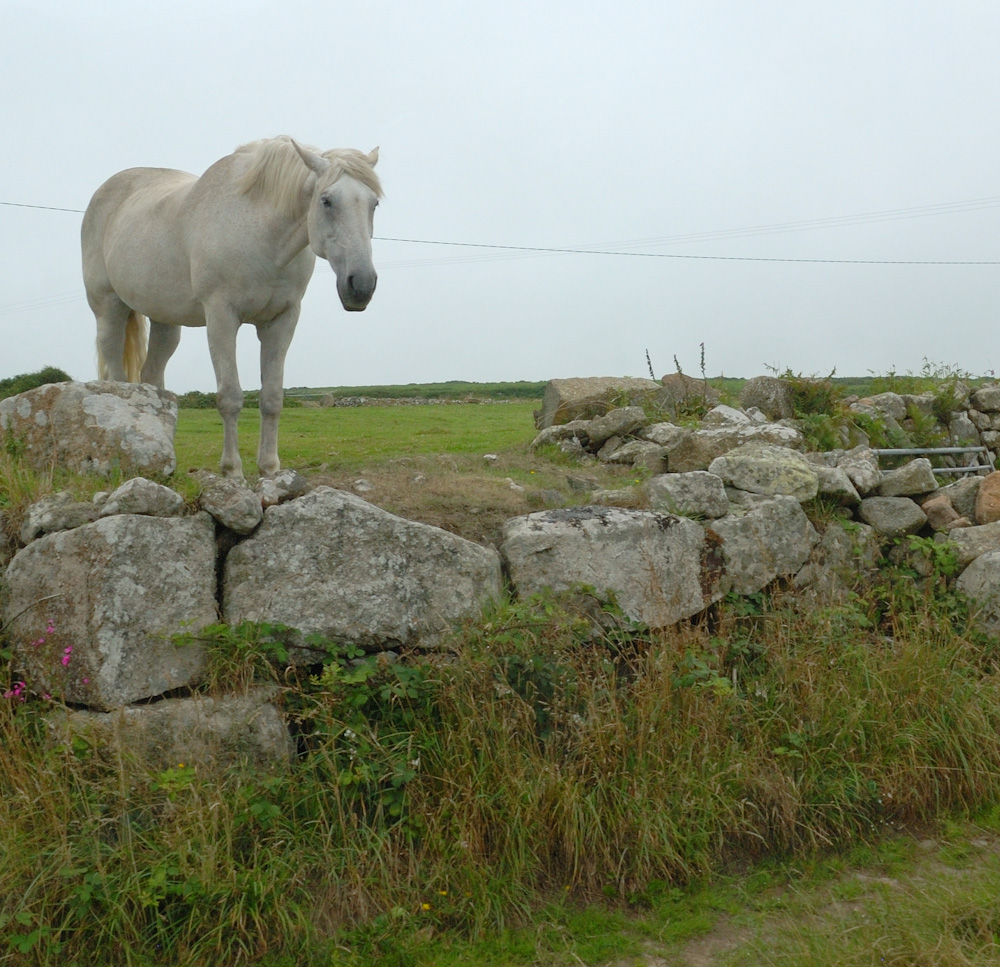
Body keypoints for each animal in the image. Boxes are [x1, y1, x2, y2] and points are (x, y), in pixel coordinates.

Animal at [80, 138, 378, 478]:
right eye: (326, 201)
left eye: (374, 203)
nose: (361, 285)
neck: (262, 234)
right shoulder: (221, 317)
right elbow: (230, 397)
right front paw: (232, 470)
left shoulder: (282, 320)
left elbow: (272, 397)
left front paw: (269, 468)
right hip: (108, 308)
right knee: (116, 375)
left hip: (164, 321)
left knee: (152, 378)